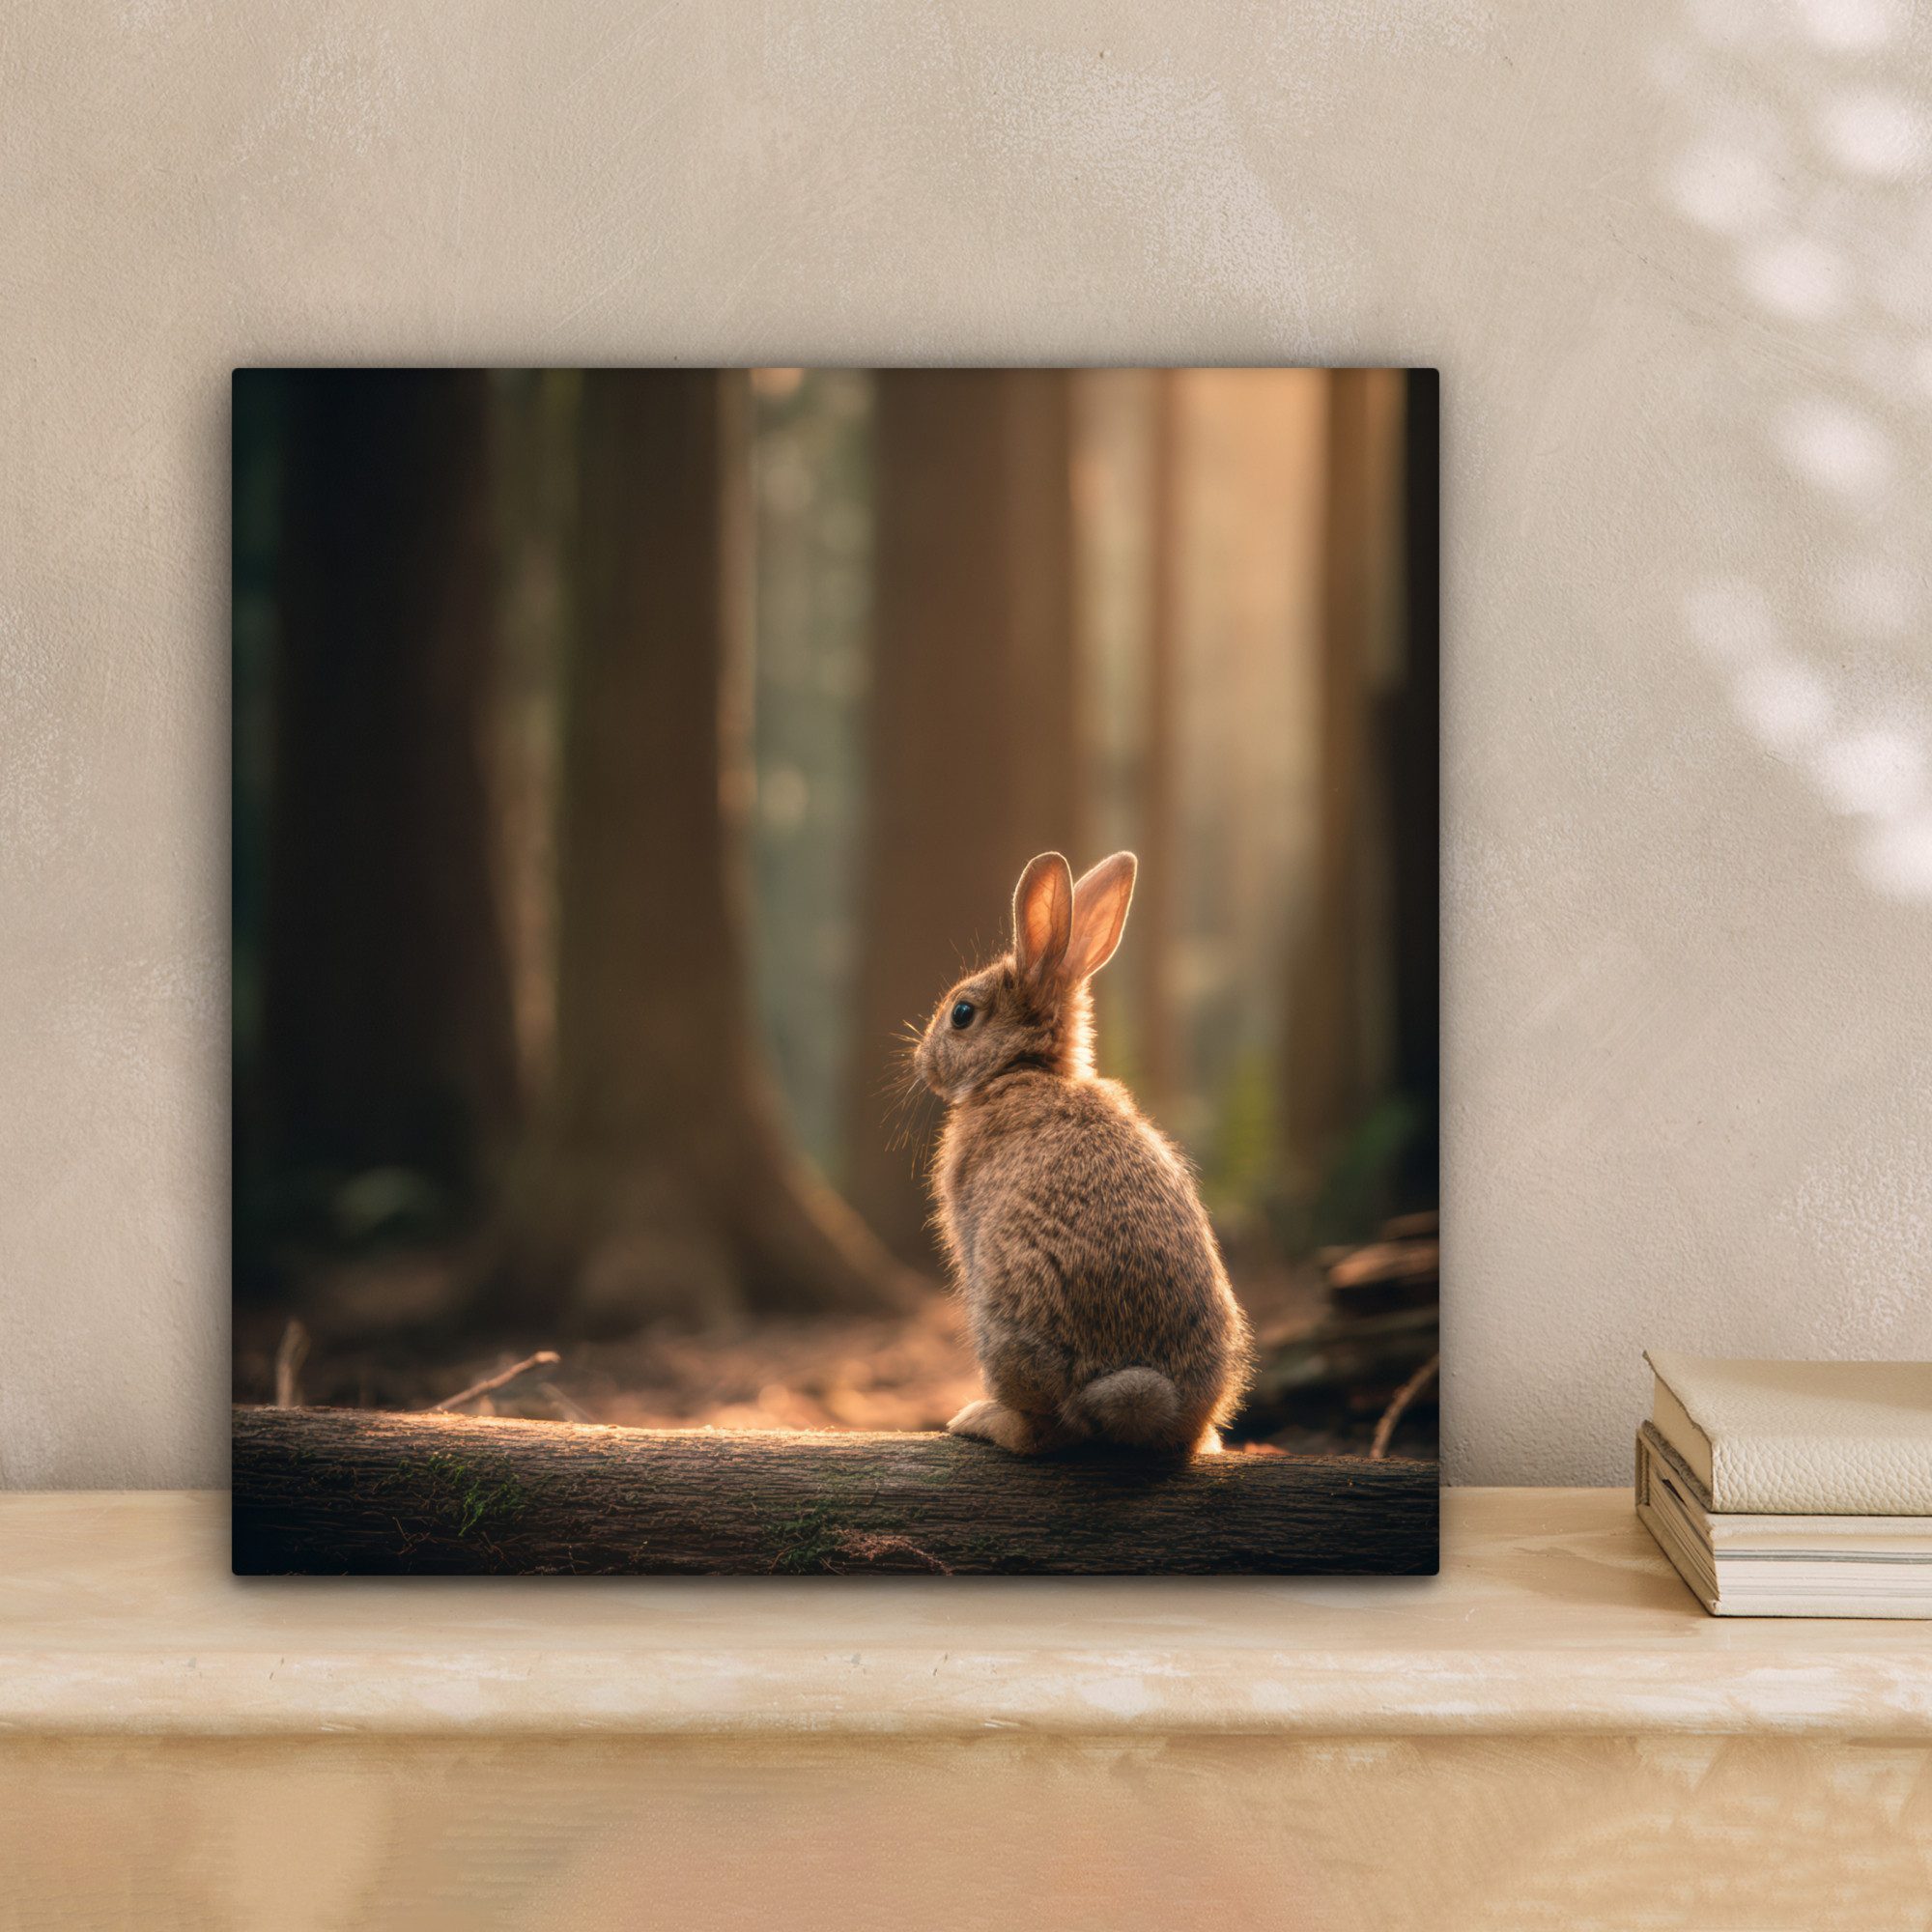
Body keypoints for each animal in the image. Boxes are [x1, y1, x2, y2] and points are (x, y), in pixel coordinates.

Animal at [913, 850, 1253, 1456]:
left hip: (1004, 1328)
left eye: (962, 1013)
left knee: (1042, 1431)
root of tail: (1139, 1401)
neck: (1023, 1068)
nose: (921, 1062)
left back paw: (979, 1419)